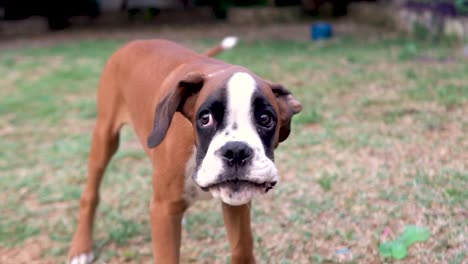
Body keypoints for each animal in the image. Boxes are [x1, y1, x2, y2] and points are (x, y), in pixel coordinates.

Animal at [69, 36, 304, 262]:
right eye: (205, 118)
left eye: (265, 119)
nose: (236, 151)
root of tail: (135, 42)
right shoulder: (163, 210)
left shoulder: (235, 203)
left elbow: (242, 250)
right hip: (104, 137)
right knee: (90, 194)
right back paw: (81, 248)